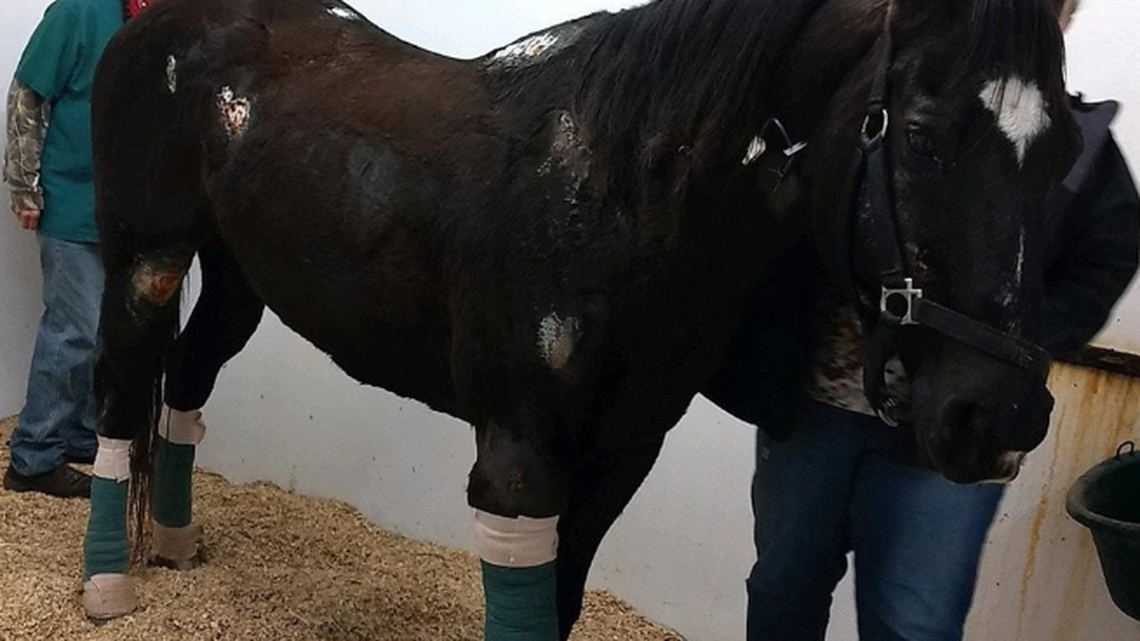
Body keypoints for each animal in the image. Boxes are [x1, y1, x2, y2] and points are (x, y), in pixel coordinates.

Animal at [79, 0, 1078, 637]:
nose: (1001, 416)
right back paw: (107, 585)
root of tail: (162, 23)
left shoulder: (621, 453)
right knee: (121, 397)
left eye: (1066, 148)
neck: (617, 192)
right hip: (146, 262)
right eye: (921, 135)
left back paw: (174, 544)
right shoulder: (519, 461)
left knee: (187, 382)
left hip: (240, 277)